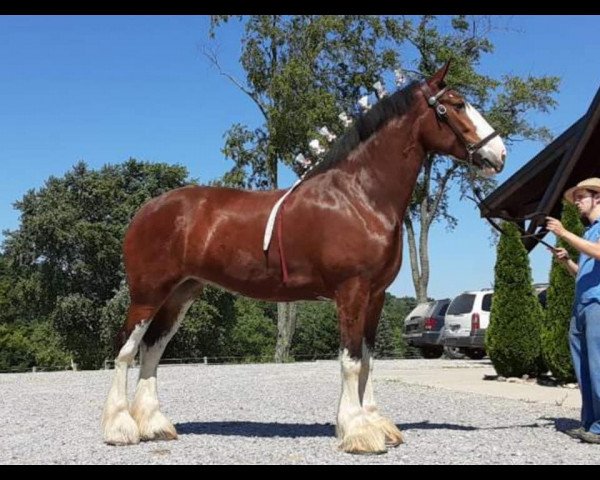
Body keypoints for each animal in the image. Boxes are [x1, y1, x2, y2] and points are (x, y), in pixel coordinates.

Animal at [102, 63, 506, 454]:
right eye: (456, 104)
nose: (499, 154)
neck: (360, 196)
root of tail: (148, 209)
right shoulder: (352, 291)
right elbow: (350, 360)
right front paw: (359, 432)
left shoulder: (375, 296)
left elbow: (368, 360)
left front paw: (376, 422)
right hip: (148, 294)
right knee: (125, 350)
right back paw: (120, 428)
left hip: (181, 294)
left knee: (152, 349)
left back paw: (154, 425)